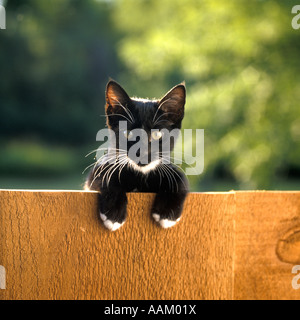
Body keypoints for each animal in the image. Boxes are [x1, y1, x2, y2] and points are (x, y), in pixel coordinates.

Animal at [84, 79, 188, 230]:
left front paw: (167, 213)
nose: (141, 153)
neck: (140, 175)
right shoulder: (98, 170)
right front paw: (113, 214)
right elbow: (105, 176)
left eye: (157, 135)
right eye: (128, 133)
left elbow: (181, 178)